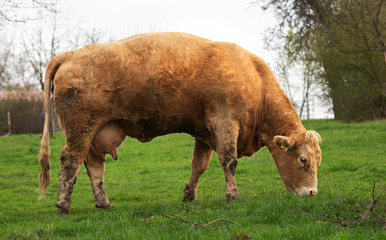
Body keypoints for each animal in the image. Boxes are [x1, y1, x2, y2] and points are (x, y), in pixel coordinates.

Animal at [38, 31, 322, 214]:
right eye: (303, 160)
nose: (312, 193)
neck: (254, 79)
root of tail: (69, 55)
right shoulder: (224, 122)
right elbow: (229, 161)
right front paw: (232, 195)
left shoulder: (205, 133)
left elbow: (199, 165)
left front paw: (189, 195)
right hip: (80, 129)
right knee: (70, 161)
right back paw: (63, 205)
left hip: (96, 132)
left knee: (94, 166)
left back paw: (104, 204)